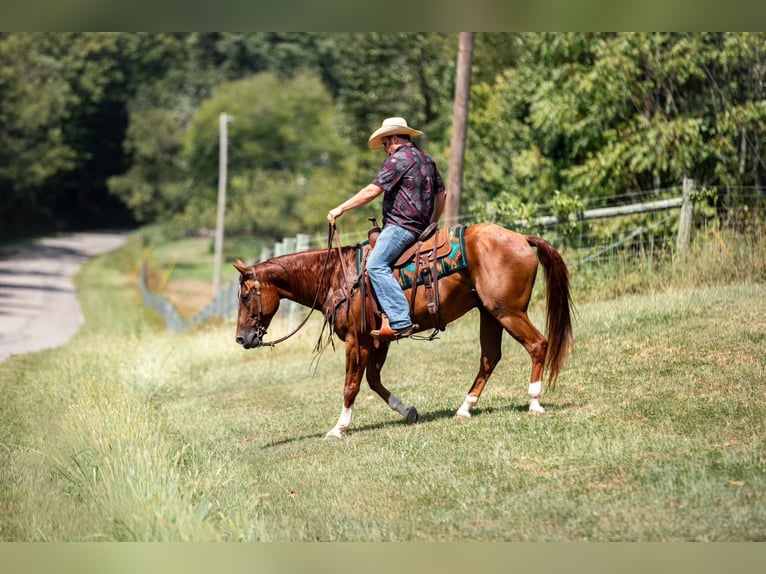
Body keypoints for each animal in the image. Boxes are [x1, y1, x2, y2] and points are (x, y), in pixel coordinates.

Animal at [234, 222, 573, 439]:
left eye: (246, 295)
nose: (242, 338)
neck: (337, 276)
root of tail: (522, 238)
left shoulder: (356, 342)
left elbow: (351, 386)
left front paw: (338, 428)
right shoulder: (378, 342)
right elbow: (373, 381)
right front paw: (408, 411)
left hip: (508, 312)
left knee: (537, 344)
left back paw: (534, 401)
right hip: (490, 314)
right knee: (490, 358)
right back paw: (465, 407)